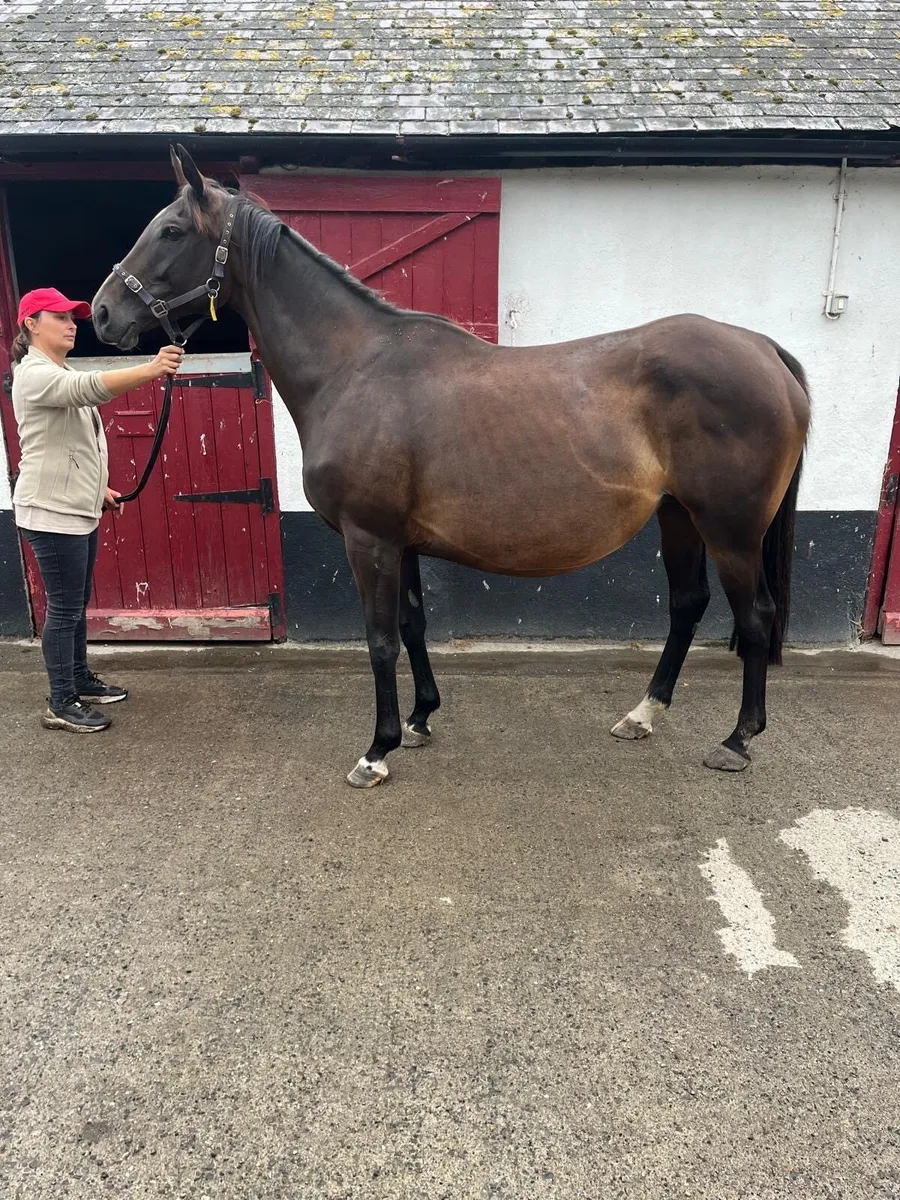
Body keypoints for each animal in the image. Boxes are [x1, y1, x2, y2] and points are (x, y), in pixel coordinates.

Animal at [92, 145, 810, 789]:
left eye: (171, 230)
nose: (101, 313)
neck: (352, 368)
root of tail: (763, 349)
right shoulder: (400, 541)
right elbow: (413, 624)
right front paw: (418, 720)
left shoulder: (369, 539)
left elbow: (380, 637)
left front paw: (376, 750)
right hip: (679, 515)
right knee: (687, 605)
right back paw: (643, 714)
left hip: (731, 529)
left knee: (754, 616)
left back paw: (737, 740)